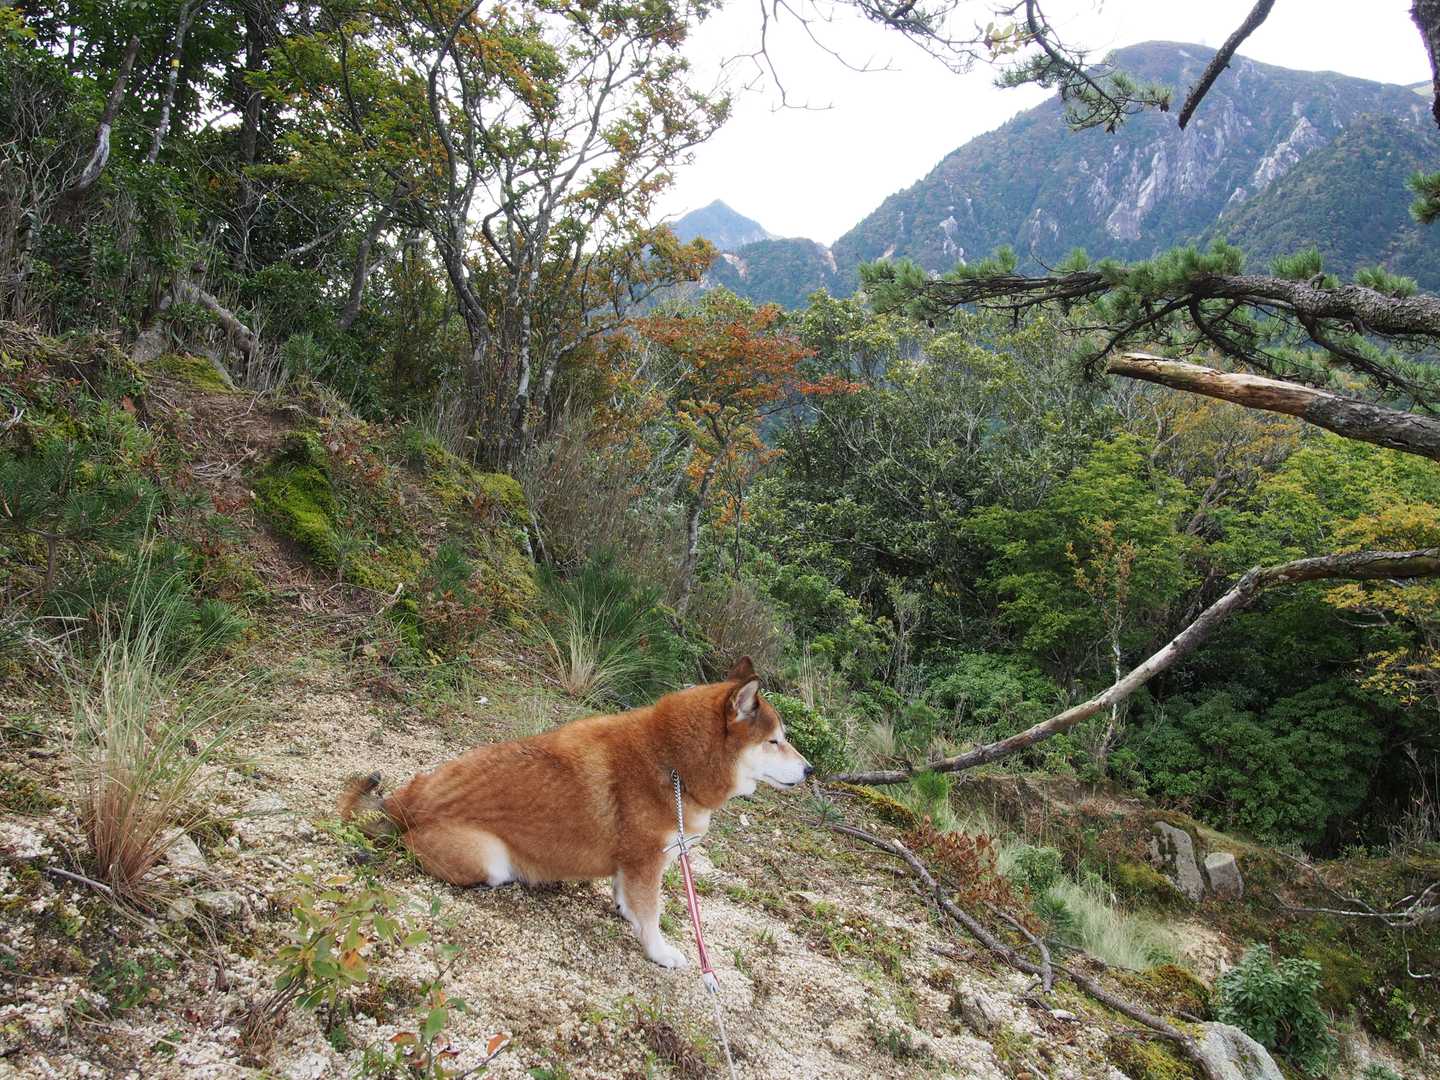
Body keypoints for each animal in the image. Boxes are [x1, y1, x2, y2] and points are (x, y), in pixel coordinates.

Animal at [338, 657, 812, 967]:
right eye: (775, 742)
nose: (809, 769)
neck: (672, 763)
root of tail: (407, 801)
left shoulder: (634, 863)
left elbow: (628, 897)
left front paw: (624, 912)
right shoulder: (646, 862)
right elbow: (652, 915)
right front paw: (660, 953)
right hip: (489, 859)